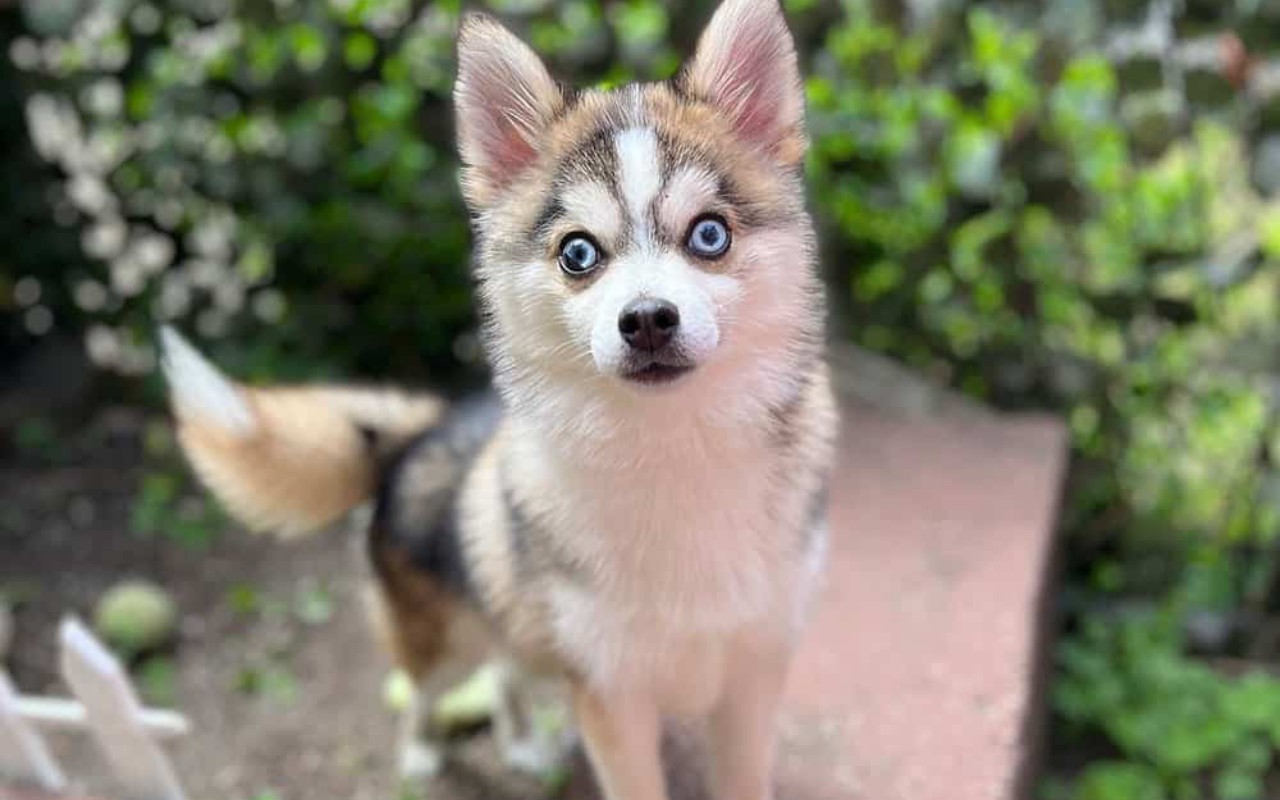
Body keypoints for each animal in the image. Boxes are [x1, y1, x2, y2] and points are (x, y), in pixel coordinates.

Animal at [157, 0, 839, 793]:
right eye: (578, 252)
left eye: (709, 235)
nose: (646, 319)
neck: (674, 452)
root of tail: (421, 431)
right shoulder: (610, 692)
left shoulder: (755, 673)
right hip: (440, 638)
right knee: (430, 688)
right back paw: (422, 754)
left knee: (508, 670)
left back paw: (520, 743)